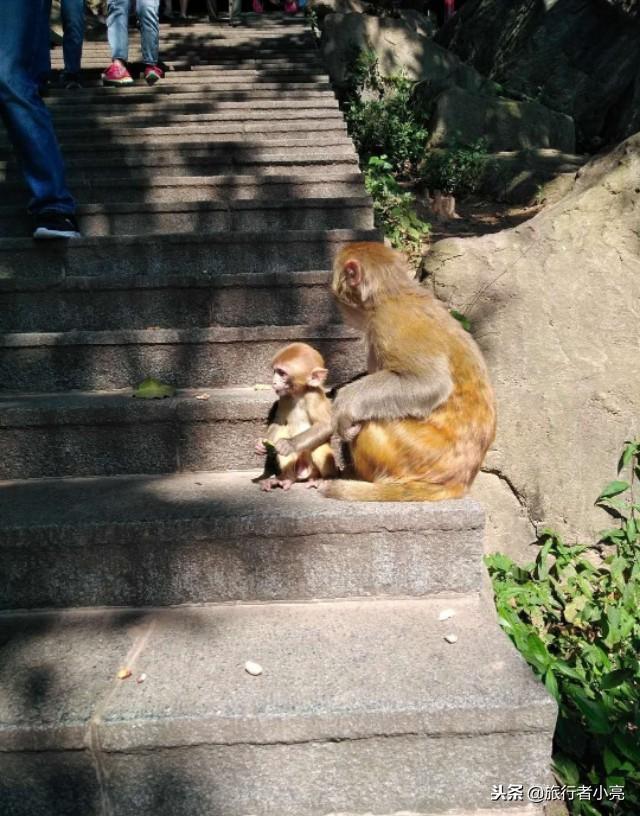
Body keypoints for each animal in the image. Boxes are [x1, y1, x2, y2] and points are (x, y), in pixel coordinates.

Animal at [254, 340, 338, 490]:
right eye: (275, 371)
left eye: (282, 373)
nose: (274, 382)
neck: (298, 393)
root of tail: (303, 473)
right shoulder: (284, 396)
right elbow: (279, 422)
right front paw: (260, 444)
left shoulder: (314, 396)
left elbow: (325, 425)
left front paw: (289, 444)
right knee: (281, 432)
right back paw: (285, 479)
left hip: (313, 468)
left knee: (320, 446)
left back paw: (325, 478)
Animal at [322, 239, 498, 500]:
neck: (392, 293)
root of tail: (459, 482)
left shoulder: (388, 323)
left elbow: (429, 382)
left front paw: (344, 402)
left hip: (413, 455)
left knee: (372, 423)